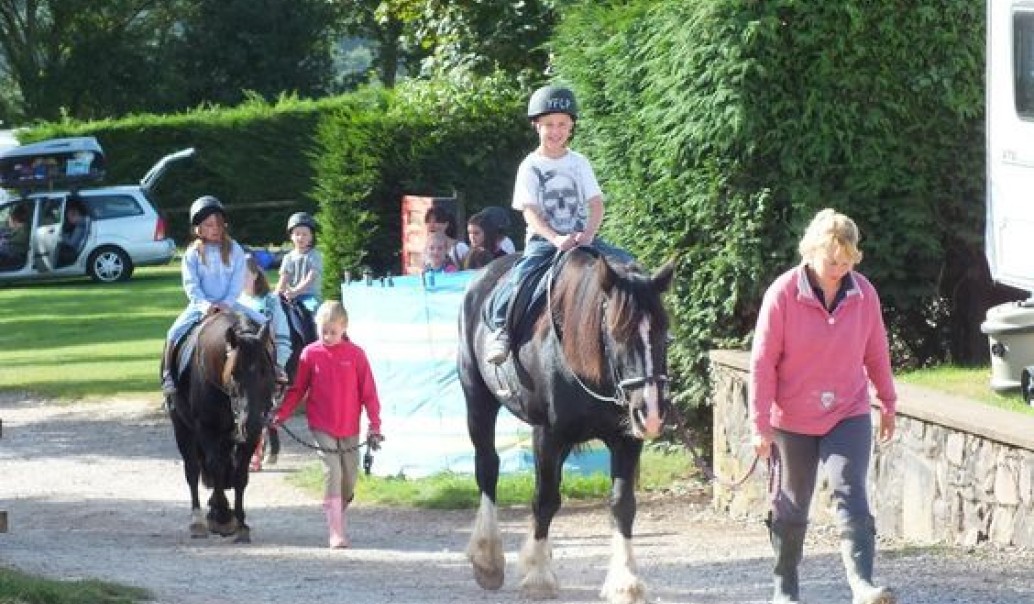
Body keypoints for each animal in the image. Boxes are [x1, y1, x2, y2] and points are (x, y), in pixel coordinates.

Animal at [167, 312, 277, 541]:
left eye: (265, 371)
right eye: (234, 372)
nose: (250, 422)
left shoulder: (251, 435)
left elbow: (240, 474)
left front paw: (241, 522)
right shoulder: (206, 428)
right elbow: (215, 466)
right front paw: (223, 517)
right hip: (182, 426)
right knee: (193, 469)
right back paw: (198, 520)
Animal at [459, 248, 670, 599]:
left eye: (663, 333)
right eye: (617, 333)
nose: (651, 411)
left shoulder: (626, 440)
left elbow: (622, 504)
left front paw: (625, 580)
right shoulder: (548, 434)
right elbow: (545, 499)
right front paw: (539, 578)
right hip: (478, 398)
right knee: (488, 467)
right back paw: (488, 558)